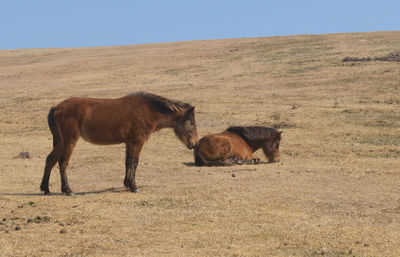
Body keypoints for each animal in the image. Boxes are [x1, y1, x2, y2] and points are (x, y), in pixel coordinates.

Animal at [39, 91, 199, 194]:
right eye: (191, 123)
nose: (194, 144)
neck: (149, 110)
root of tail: (56, 108)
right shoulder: (138, 142)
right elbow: (134, 163)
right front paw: (134, 187)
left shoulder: (129, 143)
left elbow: (128, 163)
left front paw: (127, 184)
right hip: (70, 141)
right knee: (63, 162)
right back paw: (67, 190)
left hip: (61, 142)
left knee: (50, 160)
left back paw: (45, 188)